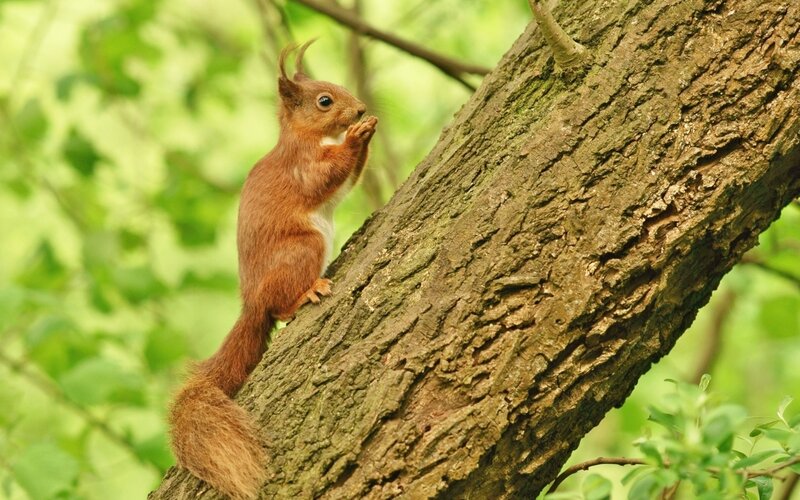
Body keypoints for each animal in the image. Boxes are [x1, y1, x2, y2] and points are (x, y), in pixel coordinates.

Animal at [168, 40, 377, 499]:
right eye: (324, 101)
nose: (359, 109)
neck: (311, 135)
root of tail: (252, 303)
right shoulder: (303, 164)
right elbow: (325, 176)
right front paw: (357, 136)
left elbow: (350, 180)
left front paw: (367, 129)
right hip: (302, 250)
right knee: (279, 308)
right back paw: (305, 295)